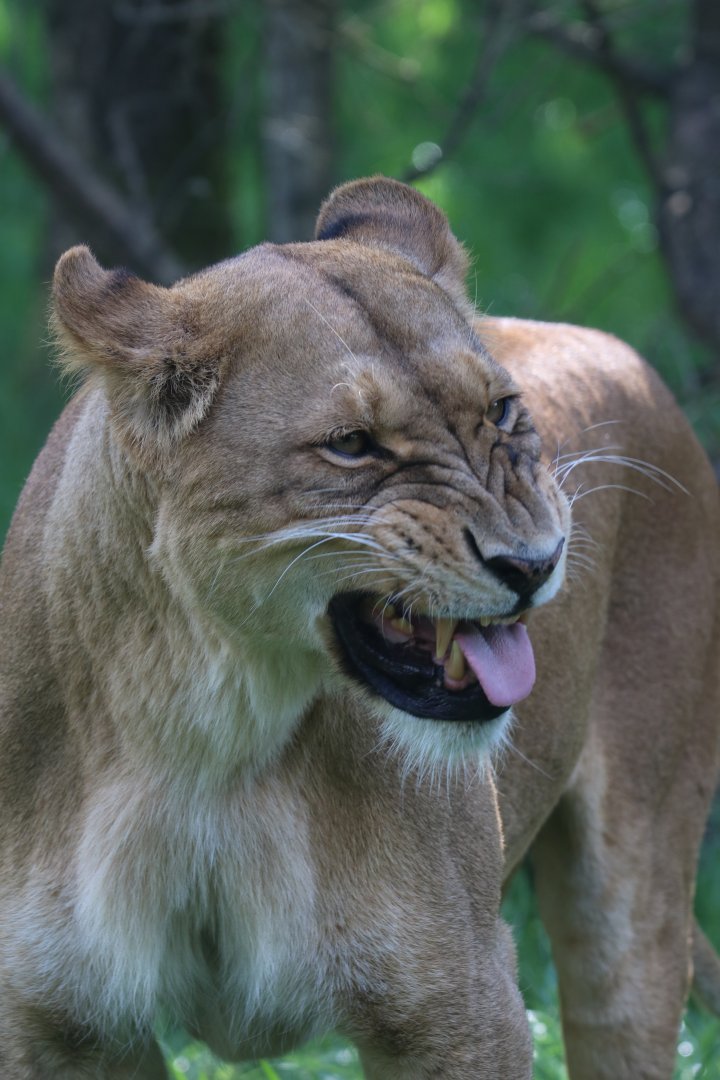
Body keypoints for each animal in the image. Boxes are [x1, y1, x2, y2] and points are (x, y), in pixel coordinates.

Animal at [0, 176, 718, 1079]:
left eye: (503, 410)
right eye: (351, 444)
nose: (535, 562)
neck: (205, 736)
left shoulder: (461, 1001)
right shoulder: (55, 1022)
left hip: (632, 901)